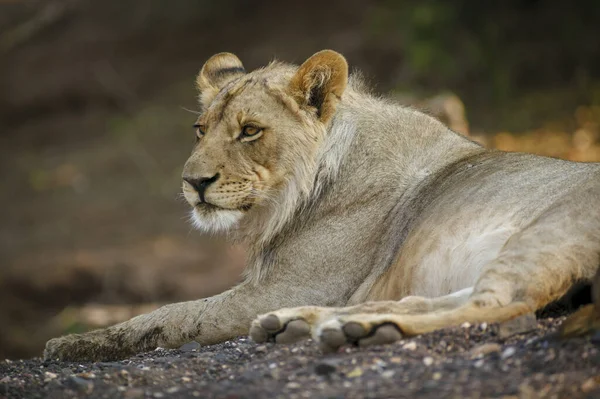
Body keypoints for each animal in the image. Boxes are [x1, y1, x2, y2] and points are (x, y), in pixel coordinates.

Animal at [43, 50, 600, 362]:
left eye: (250, 130)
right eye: (200, 130)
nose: (193, 182)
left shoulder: (286, 285)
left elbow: (175, 316)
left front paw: (72, 345)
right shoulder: (283, 288)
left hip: (547, 230)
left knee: (500, 303)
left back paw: (362, 331)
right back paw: (301, 325)